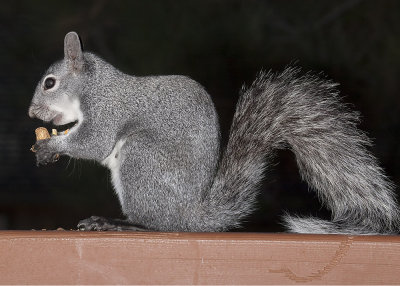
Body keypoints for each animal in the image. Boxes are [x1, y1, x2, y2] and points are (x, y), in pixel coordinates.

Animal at [28, 31, 400, 233]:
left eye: (50, 83)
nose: (32, 112)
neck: (93, 86)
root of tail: (192, 216)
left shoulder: (108, 109)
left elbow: (94, 142)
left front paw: (50, 149)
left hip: (141, 158)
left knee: (161, 225)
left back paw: (116, 223)